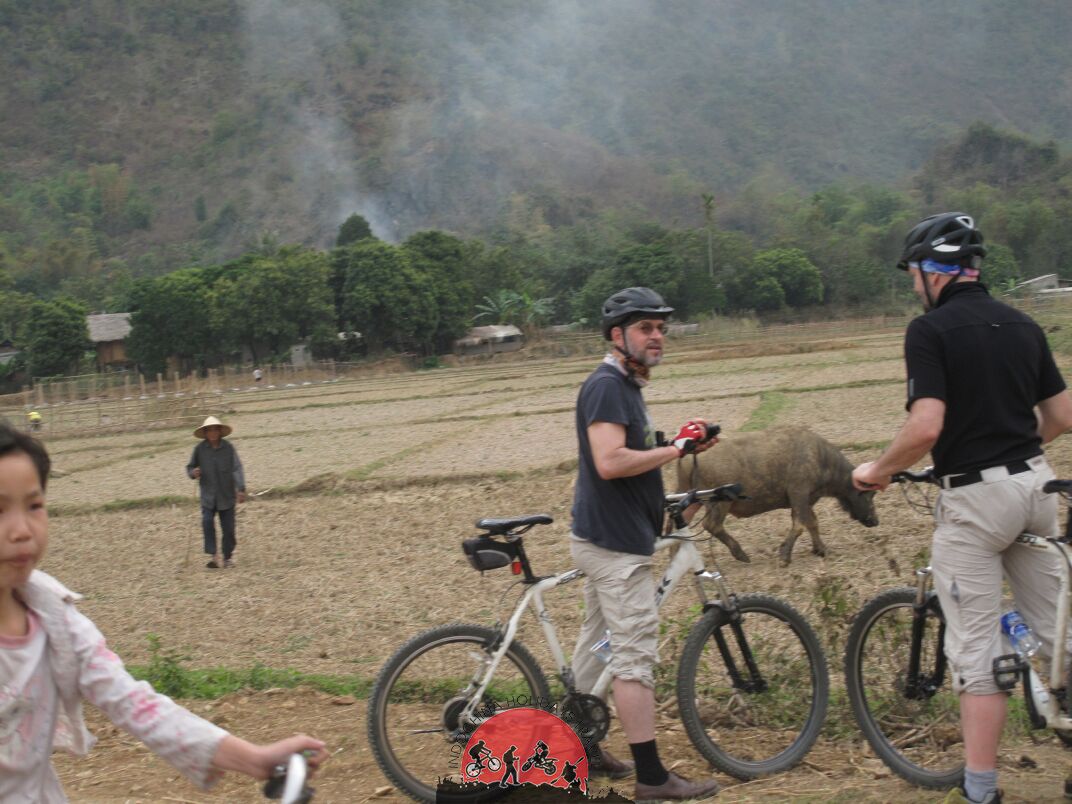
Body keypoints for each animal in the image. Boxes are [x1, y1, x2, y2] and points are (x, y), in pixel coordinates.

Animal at [677, 428, 879, 566]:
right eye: (869, 493)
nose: (875, 521)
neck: (821, 459)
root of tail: (689, 457)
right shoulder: (799, 494)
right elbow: (800, 526)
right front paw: (785, 556)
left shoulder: (805, 500)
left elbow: (812, 523)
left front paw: (820, 549)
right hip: (719, 503)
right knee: (712, 525)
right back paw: (740, 553)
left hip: (689, 500)